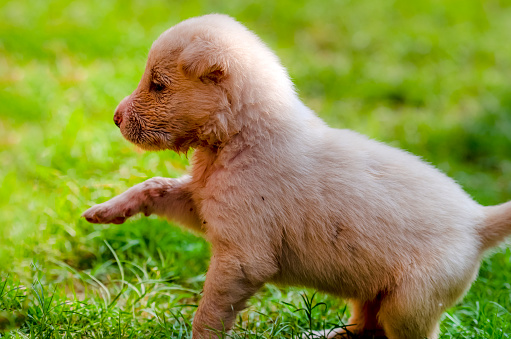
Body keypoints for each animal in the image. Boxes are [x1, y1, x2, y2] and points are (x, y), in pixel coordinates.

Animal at [83, 14, 511, 339]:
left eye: (158, 85)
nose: (116, 118)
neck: (240, 138)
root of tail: (478, 221)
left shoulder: (242, 257)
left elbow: (210, 312)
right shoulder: (203, 204)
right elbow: (154, 186)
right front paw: (106, 211)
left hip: (410, 303)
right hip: (376, 291)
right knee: (365, 326)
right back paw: (322, 335)